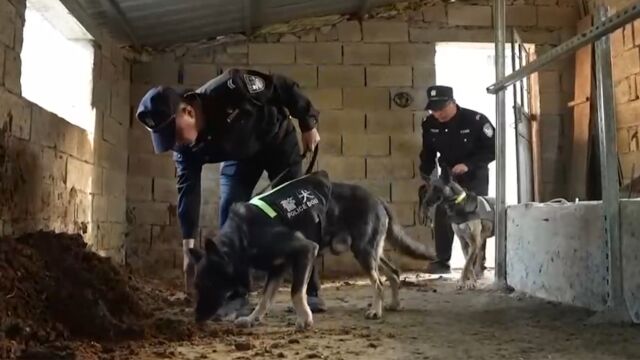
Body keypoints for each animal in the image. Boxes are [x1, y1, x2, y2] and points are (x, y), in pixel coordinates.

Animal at [182, 170, 438, 330]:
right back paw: (393, 304)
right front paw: (253, 318)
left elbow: (296, 292)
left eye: (210, 284)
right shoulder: (277, 269)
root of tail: (378, 198)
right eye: (196, 286)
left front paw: (304, 319)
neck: (242, 238)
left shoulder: (306, 250)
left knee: (378, 282)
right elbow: (265, 299)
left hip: (364, 251)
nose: (196, 319)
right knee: (393, 272)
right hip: (370, 250)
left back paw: (376, 310)